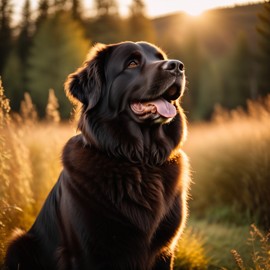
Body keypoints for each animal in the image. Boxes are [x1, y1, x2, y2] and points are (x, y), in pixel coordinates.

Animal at [4, 41, 190, 268]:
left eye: (160, 57)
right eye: (132, 63)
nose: (178, 66)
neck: (141, 159)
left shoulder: (164, 251)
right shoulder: (86, 252)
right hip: (18, 243)